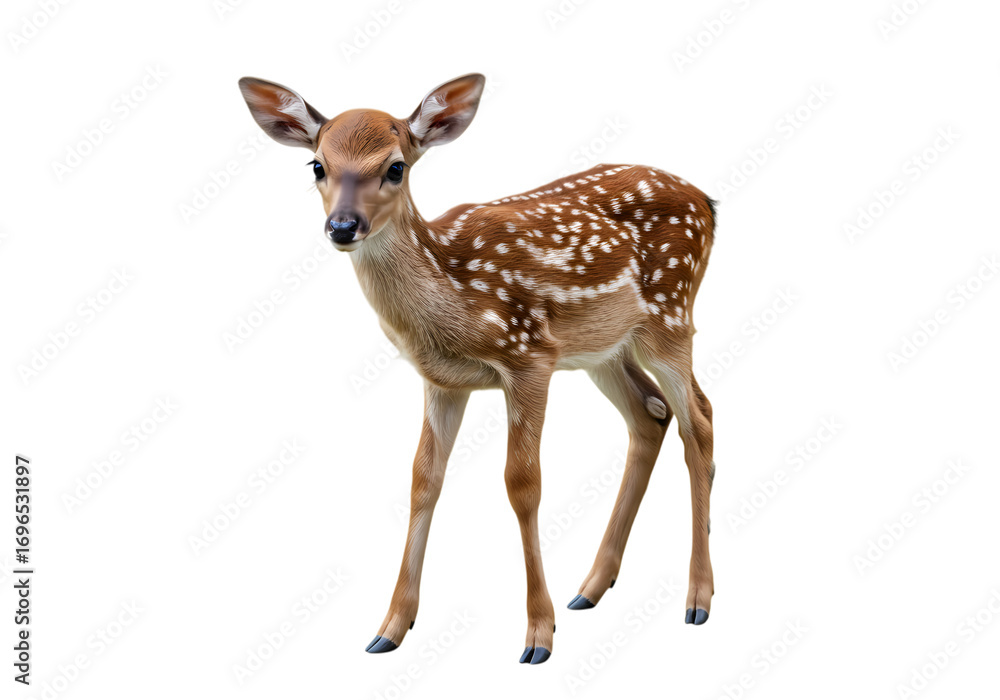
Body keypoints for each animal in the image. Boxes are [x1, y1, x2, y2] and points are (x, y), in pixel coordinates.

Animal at [239, 73, 717, 665]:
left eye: (395, 167)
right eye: (317, 165)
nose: (343, 225)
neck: (452, 290)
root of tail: (707, 202)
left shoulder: (528, 354)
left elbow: (523, 483)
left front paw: (538, 634)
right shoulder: (443, 381)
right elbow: (423, 479)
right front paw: (390, 627)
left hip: (670, 314)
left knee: (699, 420)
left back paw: (697, 599)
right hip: (603, 348)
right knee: (650, 415)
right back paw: (590, 587)